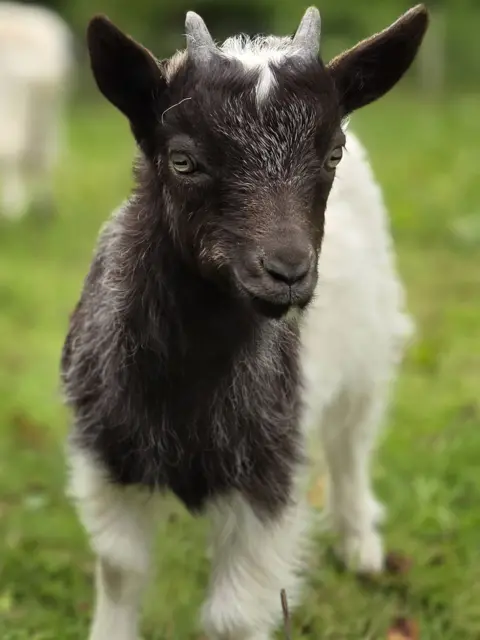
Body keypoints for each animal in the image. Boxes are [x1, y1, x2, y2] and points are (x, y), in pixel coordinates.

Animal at [61, 6, 428, 640]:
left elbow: (233, 617)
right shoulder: (108, 454)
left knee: (351, 444)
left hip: (370, 352)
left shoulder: (268, 473)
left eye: (332, 154)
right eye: (183, 160)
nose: (287, 270)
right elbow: (120, 570)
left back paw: (361, 547)